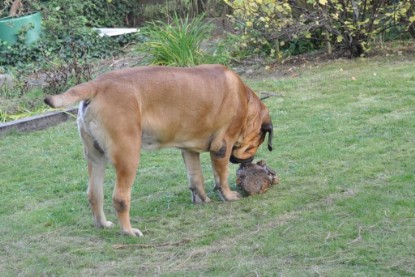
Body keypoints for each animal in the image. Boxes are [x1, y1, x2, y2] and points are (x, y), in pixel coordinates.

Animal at [45, 64, 272, 235]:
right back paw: (128, 231)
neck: (246, 102)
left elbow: (195, 178)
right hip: (128, 156)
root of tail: (97, 85)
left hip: (95, 157)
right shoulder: (222, 147)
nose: (248, 162)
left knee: (94, 194)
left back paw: (103, 224)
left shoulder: (189, 150)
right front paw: (229, 195)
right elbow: (221, 177)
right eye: (257, 142)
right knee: (120, 198)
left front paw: (202, 200)